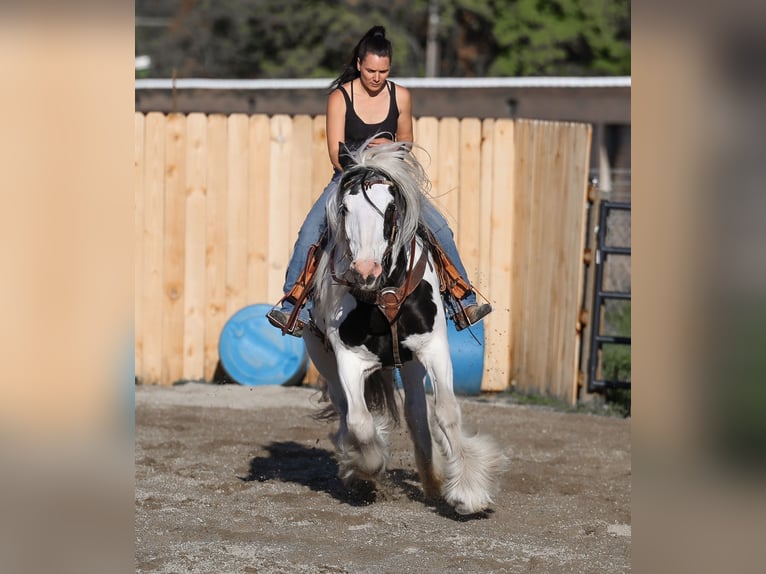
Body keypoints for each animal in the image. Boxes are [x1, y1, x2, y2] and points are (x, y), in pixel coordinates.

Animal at [304, 140, 508, 516]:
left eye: (390, 209)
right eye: (344, 208)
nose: (364, 270)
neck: (381, 295)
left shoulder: (434, 349)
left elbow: (446, 413)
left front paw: (468, 492)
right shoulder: (348, 360)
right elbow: (360, 423)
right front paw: (365, 468)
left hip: (412, 364)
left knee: (416, 413)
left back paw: (433, 480)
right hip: (323, 360)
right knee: (346, 413)